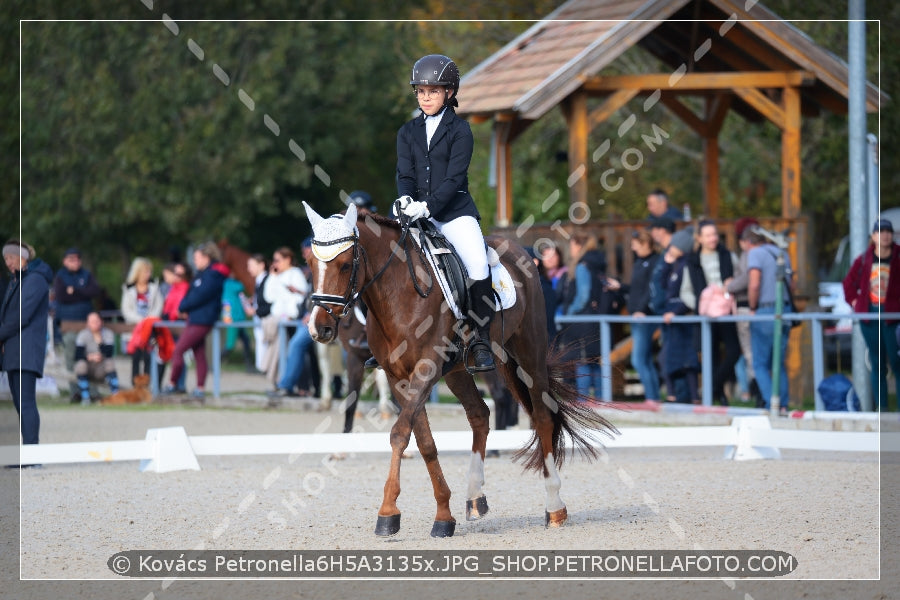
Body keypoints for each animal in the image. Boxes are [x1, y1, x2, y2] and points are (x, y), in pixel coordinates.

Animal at [306, 203, 616, 540]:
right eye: (310, 263)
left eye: (345, 265)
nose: (320, 328)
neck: (399, 293)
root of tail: (517, 249)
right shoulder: (398, 376)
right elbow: (424, 442)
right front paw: (443, 516)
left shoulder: (426, 368)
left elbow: (399, 433)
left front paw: (387, 512)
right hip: (457, 371)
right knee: (480, 414)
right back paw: (475, 498)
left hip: (529, 352)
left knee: (543, 415)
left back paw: (554, 507)